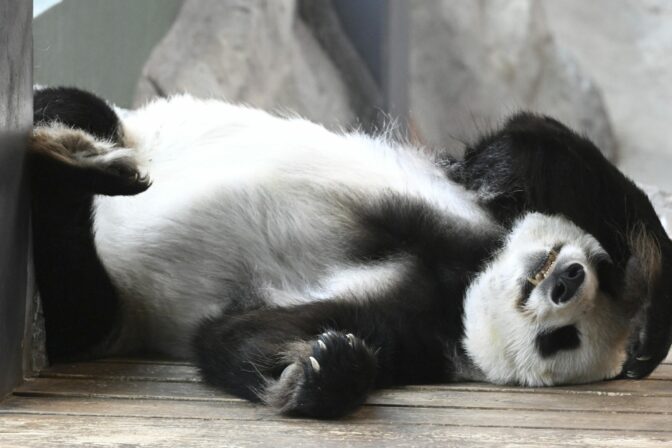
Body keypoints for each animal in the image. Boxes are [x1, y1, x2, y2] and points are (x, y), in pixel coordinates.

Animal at [30, 88, 672, 420]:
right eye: (603, 273)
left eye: (561, 339)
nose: (565, 281)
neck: (465, 280)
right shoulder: (462, 222)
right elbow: (531, 145)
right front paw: (648, 331)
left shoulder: (413, 329)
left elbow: (234, 336)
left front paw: (323, 370)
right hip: (131, 128)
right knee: (83, 108)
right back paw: (85, 148)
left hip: (107, 312)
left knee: (72, 291)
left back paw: (71, 167)